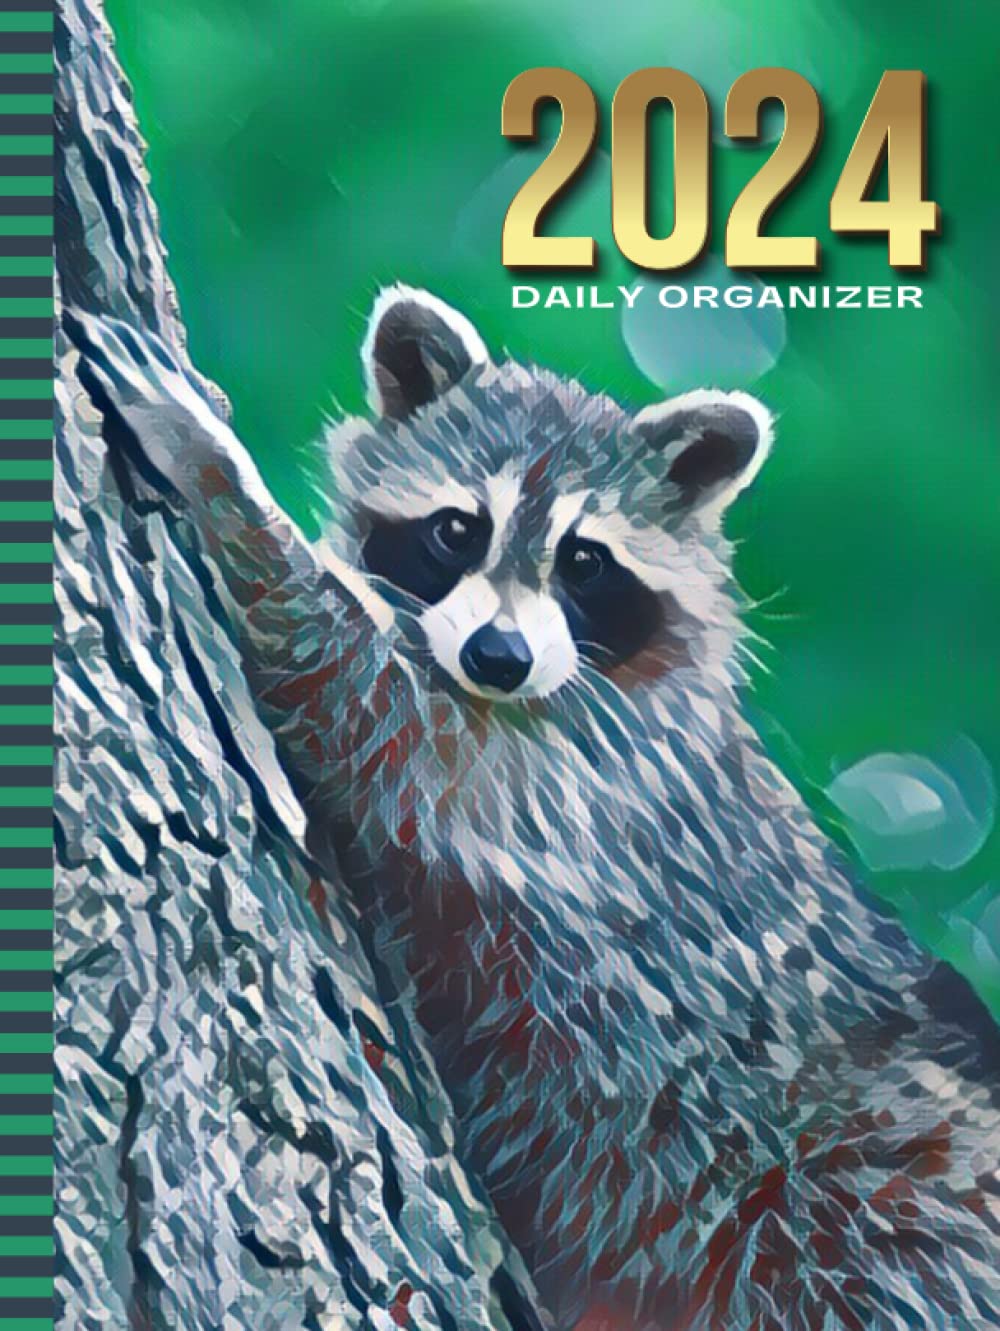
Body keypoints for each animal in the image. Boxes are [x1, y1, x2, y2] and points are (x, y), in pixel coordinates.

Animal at [71, 290, 1000, 1331]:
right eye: (456, 529)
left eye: (585, 561)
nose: (499, 655)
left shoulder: (584, 775)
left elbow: (382, 714)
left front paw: (221, 476)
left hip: (884, 1190)